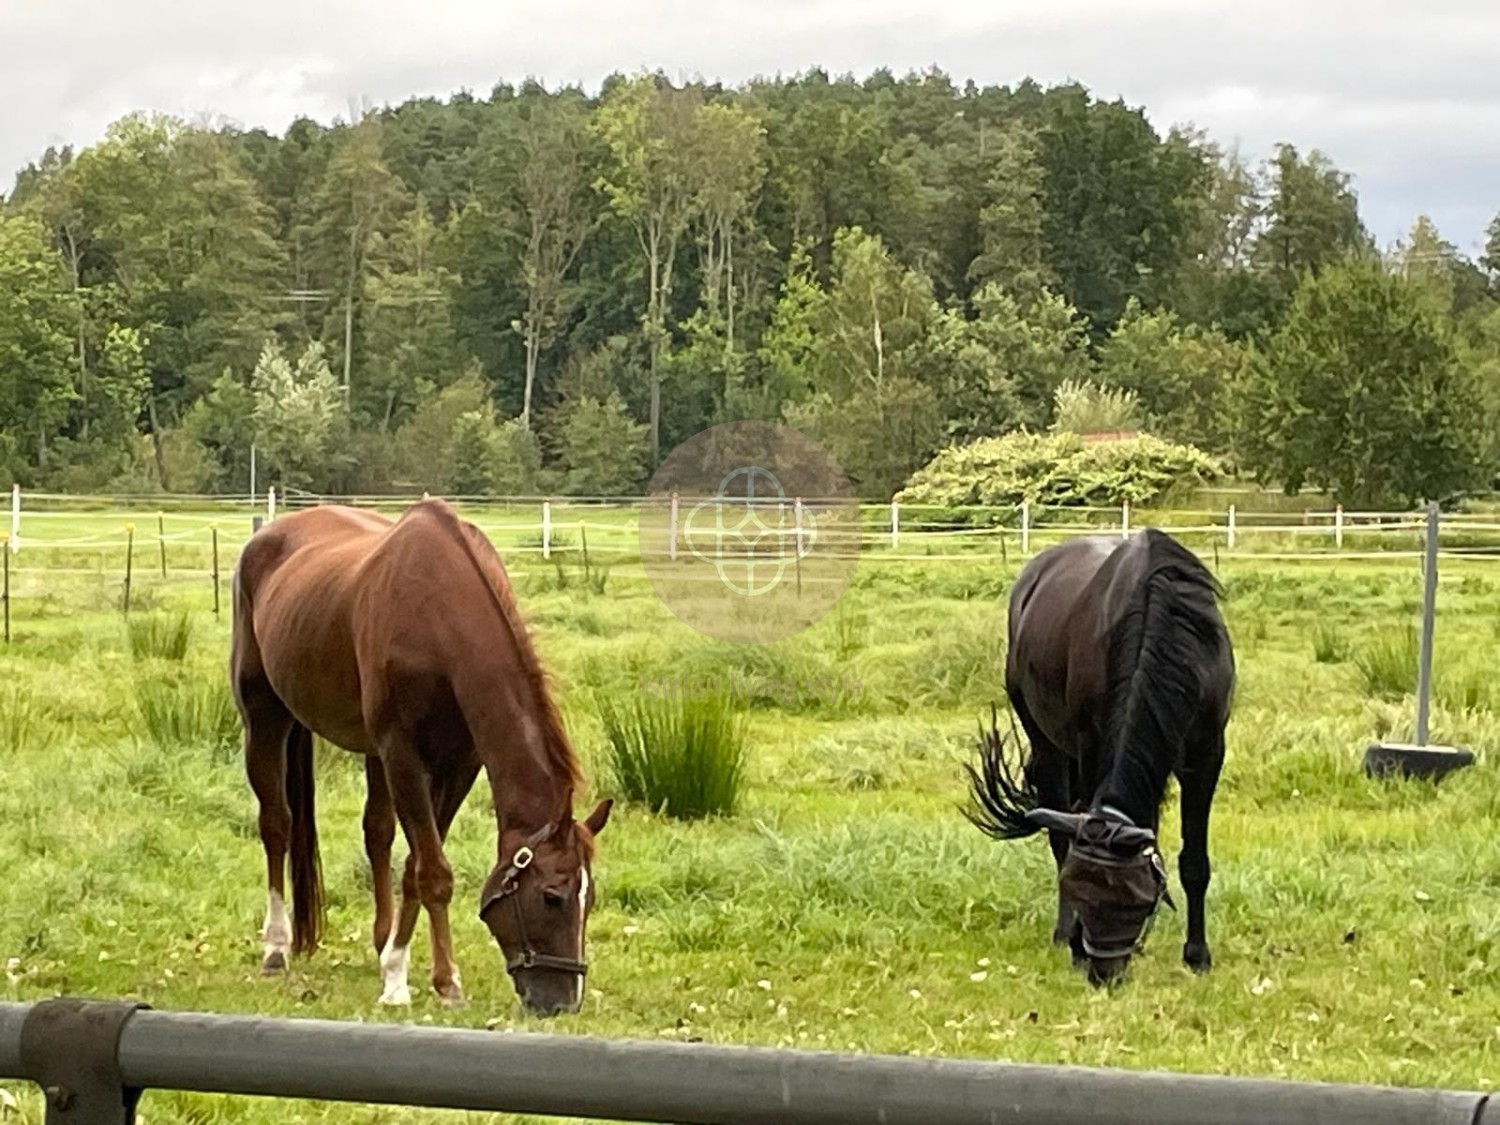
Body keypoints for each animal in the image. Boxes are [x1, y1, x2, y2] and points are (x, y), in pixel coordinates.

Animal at [234, 498, 609, 1020]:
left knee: (377, 833)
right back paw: (276, 947)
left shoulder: (460, 764)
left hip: (368, 753)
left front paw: (400, 965)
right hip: (265, 719)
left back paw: (379, 940)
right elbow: (433, 872)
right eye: (552, 897)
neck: (438, 613)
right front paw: (432, 982)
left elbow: (415, 864)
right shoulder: (402, 755)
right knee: (276, 825)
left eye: (589, 900)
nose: (563, 1003)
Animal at [966, 531, 1236, 984]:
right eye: (1079, 888)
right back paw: (1061, 932)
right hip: (1047, 743)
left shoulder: (1207, 753)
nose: (1102, 974)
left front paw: (1197, 955)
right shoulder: (1091, 747)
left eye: (1133, 900)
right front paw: (1072, 939)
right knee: (1058, 832)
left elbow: (1194, 862)